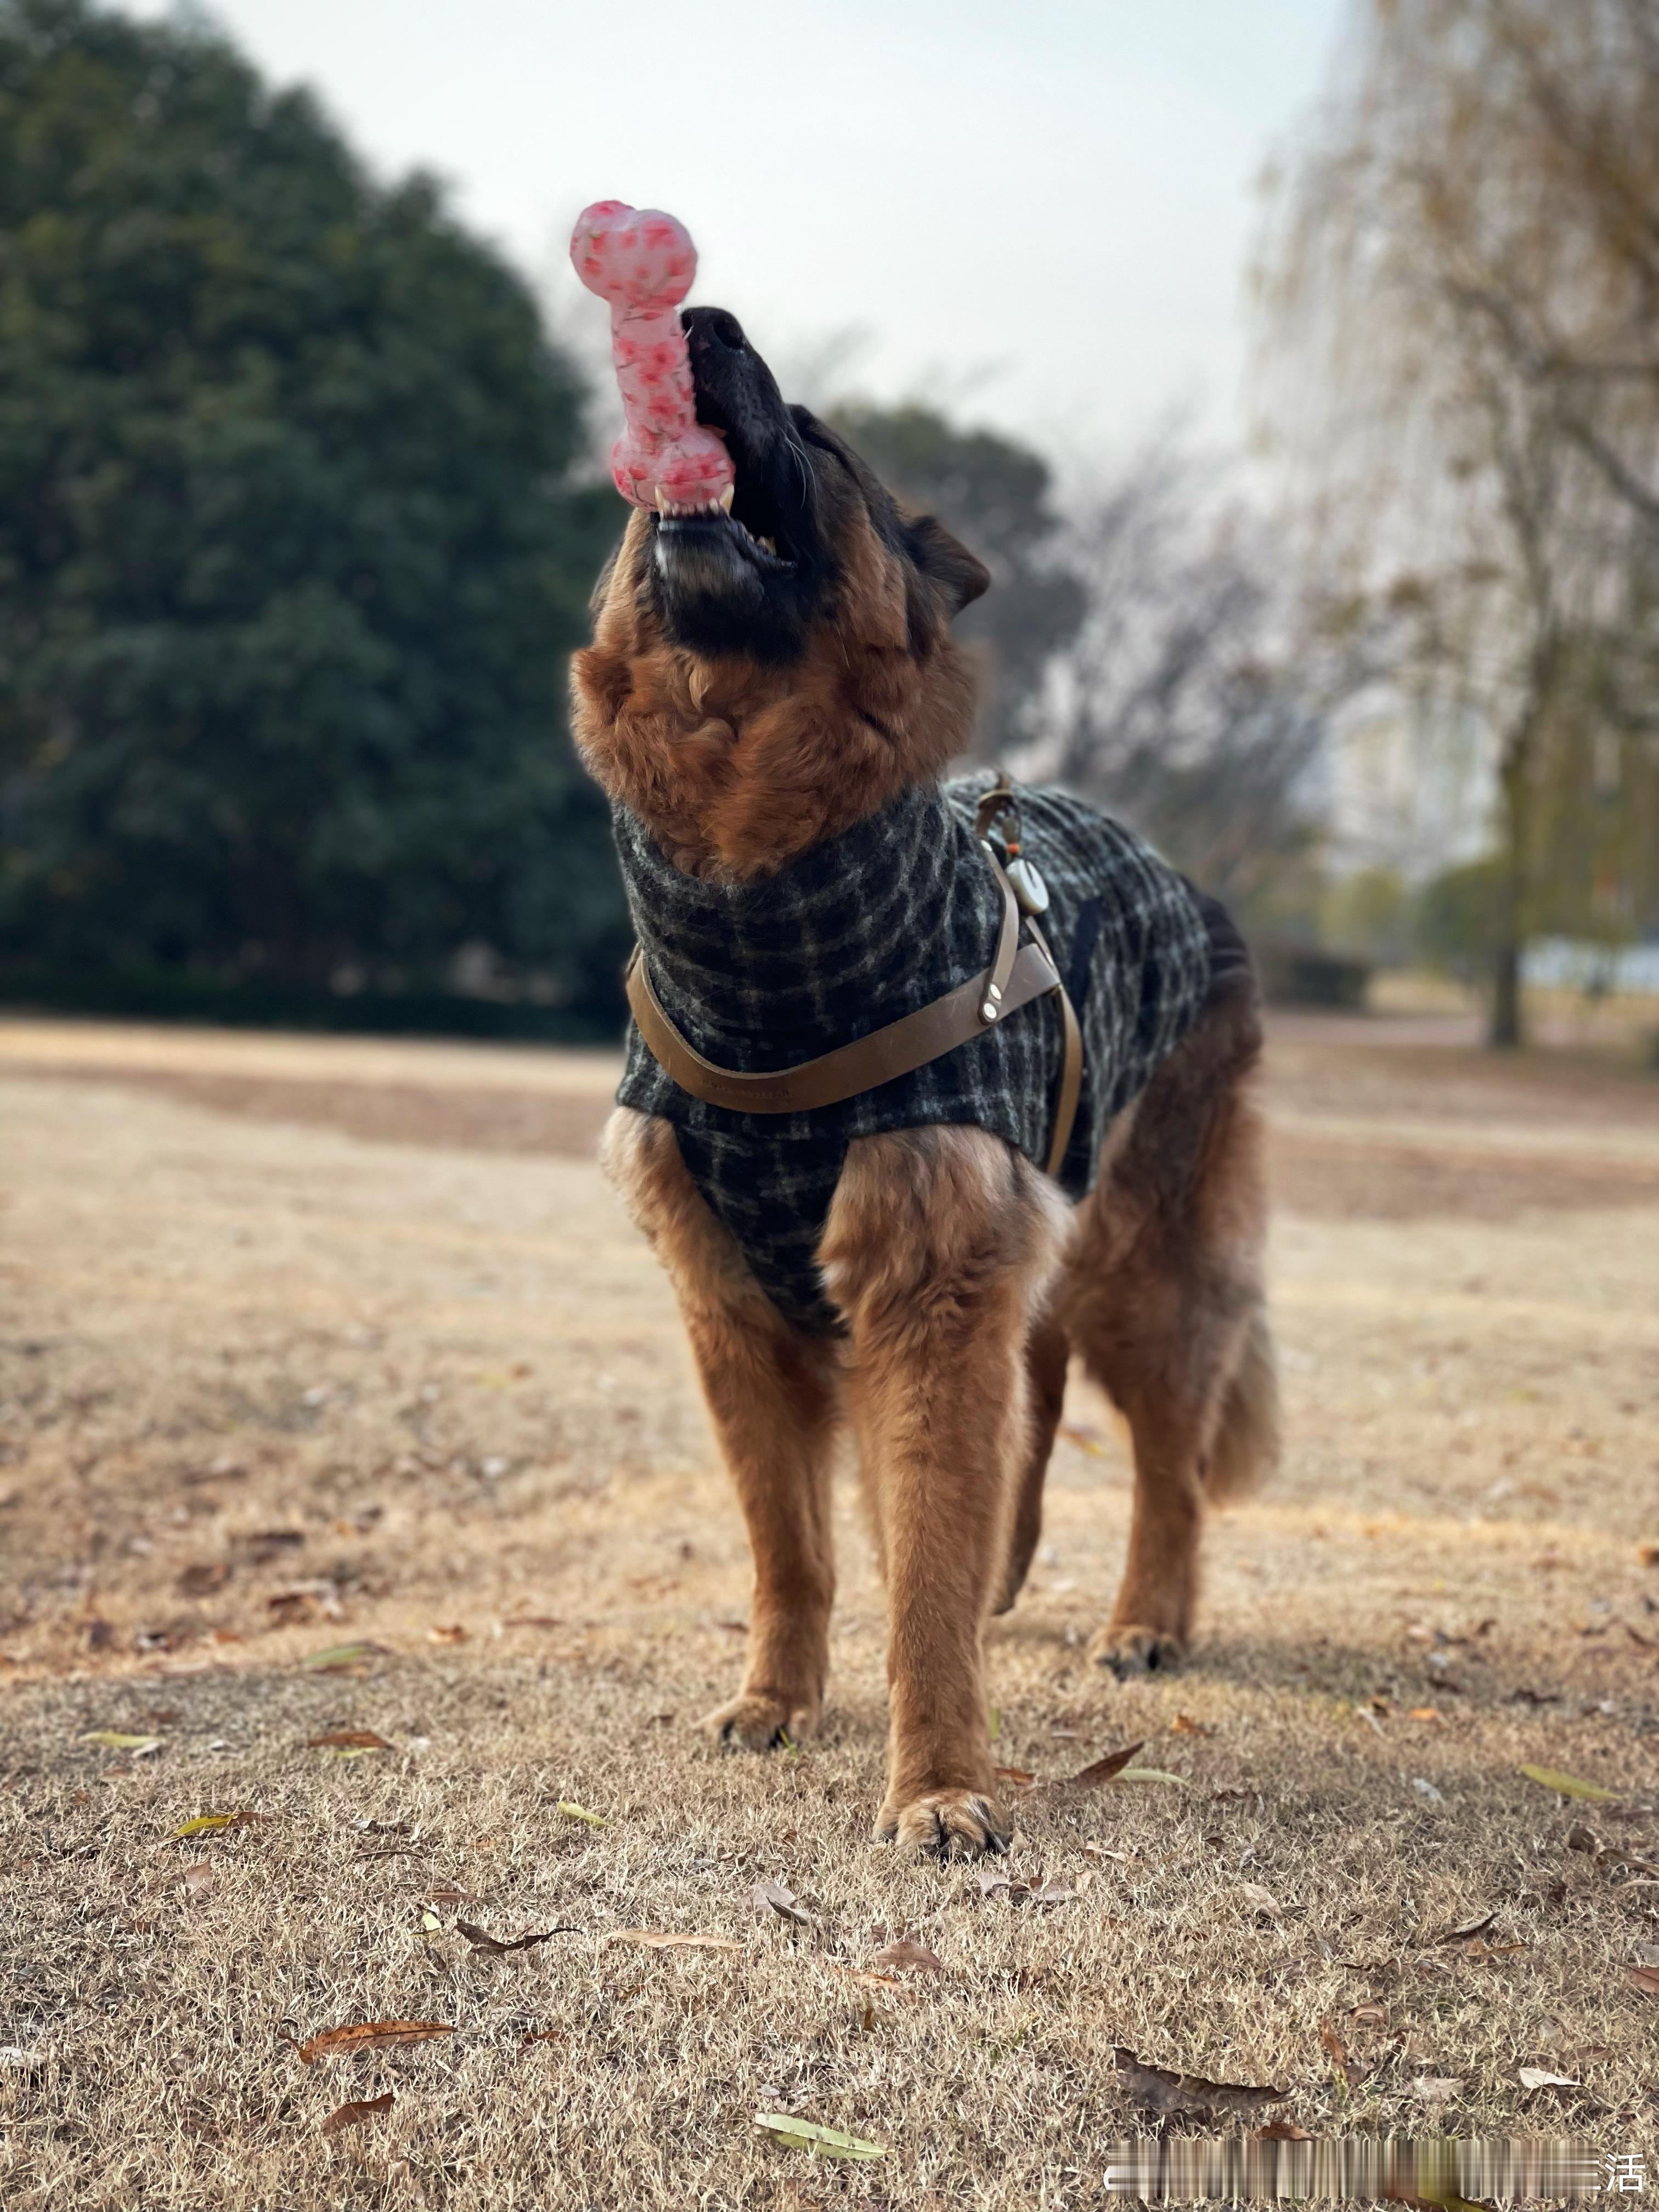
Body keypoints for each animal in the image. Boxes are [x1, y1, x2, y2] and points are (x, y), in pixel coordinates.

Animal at [566, 303, 1283, 1858]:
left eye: (821, 442)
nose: (700, 322)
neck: (764, 927)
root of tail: (1188, 880)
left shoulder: (930, 1294)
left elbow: (932, 1572)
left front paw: (941, 1781)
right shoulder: (740, 1320)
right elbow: (795, 1544)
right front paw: (778, 1699)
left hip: (1147, 1281)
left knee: (1169, 1471)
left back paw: (1149, 1620)